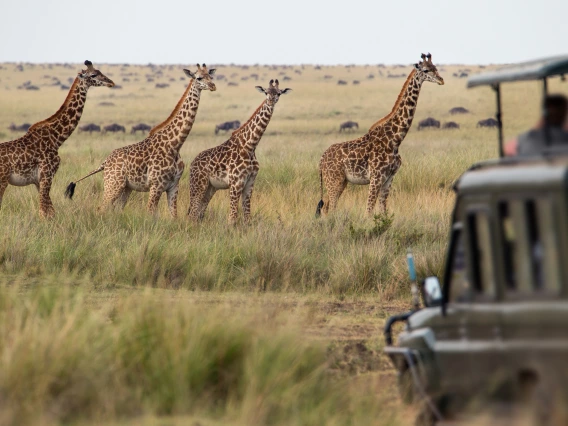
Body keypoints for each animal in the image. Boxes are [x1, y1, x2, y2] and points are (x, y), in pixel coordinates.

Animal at [0, 60, 114, 218]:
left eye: (100, 72)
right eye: (93, 75)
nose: (111, 82)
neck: (57, 138)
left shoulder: (39, 181)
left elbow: (49, 211)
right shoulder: (47, 175)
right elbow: (45, 212)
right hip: (2, 180)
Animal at [65, 62, 217, 216]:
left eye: (210, 76)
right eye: (198, 78)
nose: (213, 86)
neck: (175, 144)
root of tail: (105, 162)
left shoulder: (174, 185)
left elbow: (173, 215)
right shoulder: (156, 185)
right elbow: (151, 212)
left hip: (126, 187)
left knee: (116, 209)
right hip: (113, 184)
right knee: (101, 208)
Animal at [187, 80, 290, 226]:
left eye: (279, 93)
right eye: (266, 92)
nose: (271, 101)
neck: (250, 146)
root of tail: (192, 164)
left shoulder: (250, 182)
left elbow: (247, 217)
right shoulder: (236, 183)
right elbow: (232, 218)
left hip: (210, 188)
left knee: (199, 214)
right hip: (198, 185)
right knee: (192, 214)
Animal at [316, 54, 444, 216]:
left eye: (436, 68)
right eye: (426, 70)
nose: (441, 80)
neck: (395, 139)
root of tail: (321, 160)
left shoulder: (389, 178)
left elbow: (383, 210)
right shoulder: (376, 177)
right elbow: (369, 211)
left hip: (340, 181)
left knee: (326, 207)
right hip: (334, 180)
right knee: (330, 208)